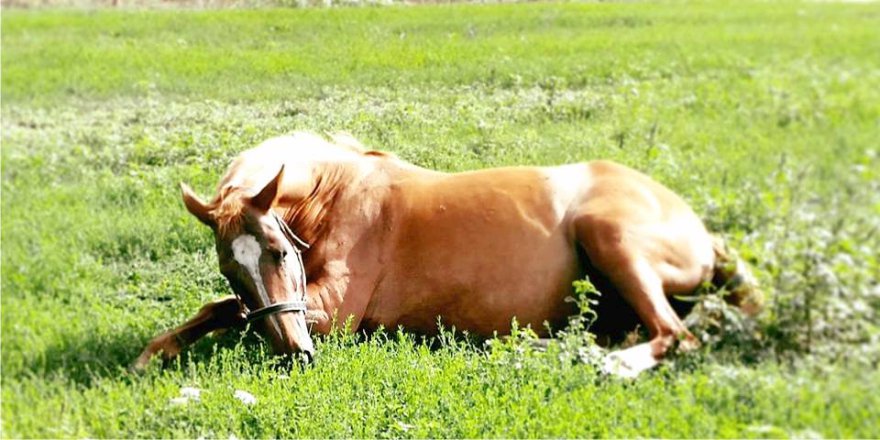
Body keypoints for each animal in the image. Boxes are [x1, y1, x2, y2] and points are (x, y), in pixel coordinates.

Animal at [133, 132, 761, 377]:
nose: (296, 354)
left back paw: (610, 363)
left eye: (278, 251)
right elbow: (225, 308)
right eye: (231, 267)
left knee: (676, 333)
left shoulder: (336, 312)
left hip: (612, 237)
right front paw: (154, 352)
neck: (336, 192)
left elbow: (233, 314)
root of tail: (701, 231)